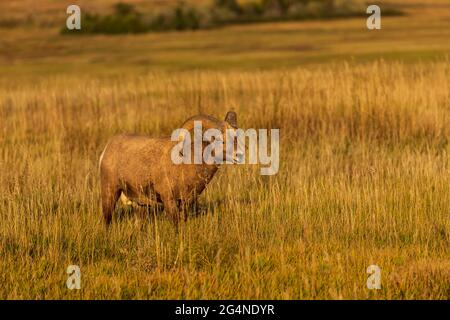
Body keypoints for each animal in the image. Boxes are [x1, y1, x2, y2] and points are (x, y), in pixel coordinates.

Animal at [100, 111, 241, 226]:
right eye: (219, 140)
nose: (239, 155)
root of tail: (107, 148)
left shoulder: (185, 203)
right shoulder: (169, 201)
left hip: (140, 205)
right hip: (110, 193)